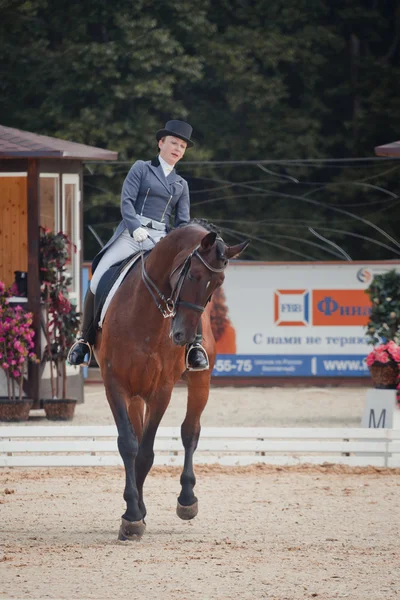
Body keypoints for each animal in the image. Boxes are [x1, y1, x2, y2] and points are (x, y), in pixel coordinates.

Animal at [95, 220, 248, 540]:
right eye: (192, 274)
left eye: (217, 284)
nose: (183, 336)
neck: (145, 314)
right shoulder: (114, 383)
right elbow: (129, 444)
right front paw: (134, 513)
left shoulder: (161, 389)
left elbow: (146, 452)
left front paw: (134, 516)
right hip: (135, 393)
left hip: (199, 382)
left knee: (190, 431)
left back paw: (187, 500)